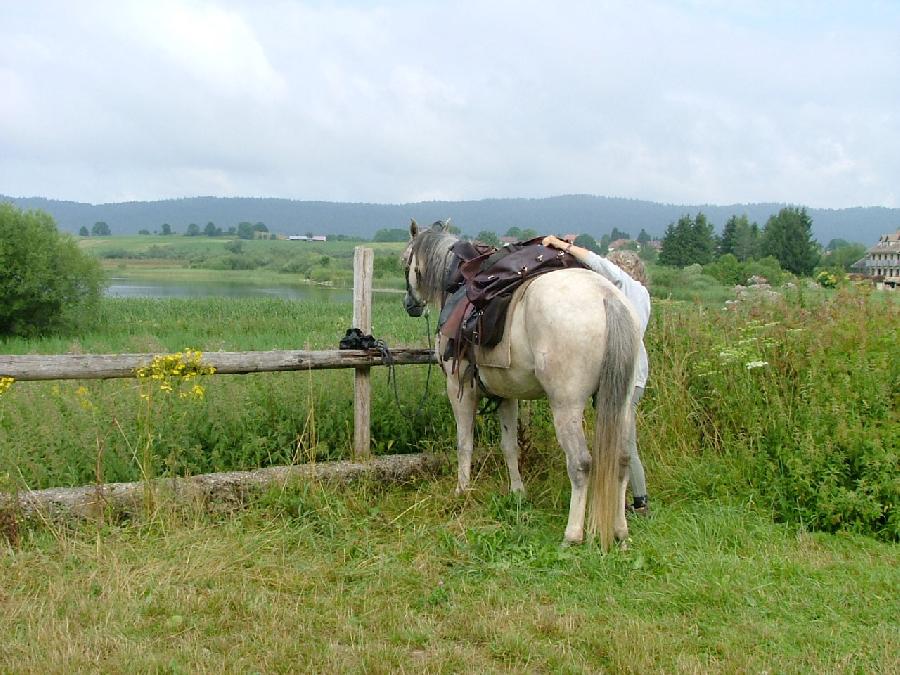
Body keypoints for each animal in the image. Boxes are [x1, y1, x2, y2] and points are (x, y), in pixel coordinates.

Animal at [400, 220, 640, 548]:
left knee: (581, 463)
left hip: (566, 406)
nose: (409, 304)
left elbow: (464, 443)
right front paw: (517, 493)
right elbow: (509, 446)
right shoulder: (506, 395)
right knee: (623, 460)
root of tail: (607, 297)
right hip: (622, 404)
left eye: (406, 260)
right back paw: (620, 531)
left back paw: (572, 535)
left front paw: (462, 490)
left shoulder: (459, 390)